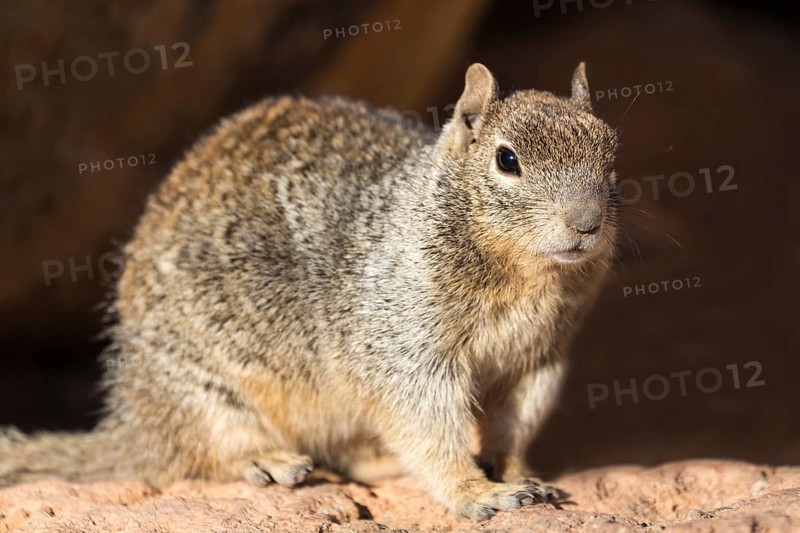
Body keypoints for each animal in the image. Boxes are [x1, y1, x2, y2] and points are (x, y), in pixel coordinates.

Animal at [0, 62, 619, 520]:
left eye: (612, 154)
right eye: (506, 159)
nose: (586, 223)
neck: (525, 278)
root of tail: (132, 420)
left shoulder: (539, 361)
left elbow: (514, 428)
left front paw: (517, 475)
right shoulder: (405, 350)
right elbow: (429, 428)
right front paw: (478, 492)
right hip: (201, 394)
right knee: (192, 456)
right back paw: (268, 461)